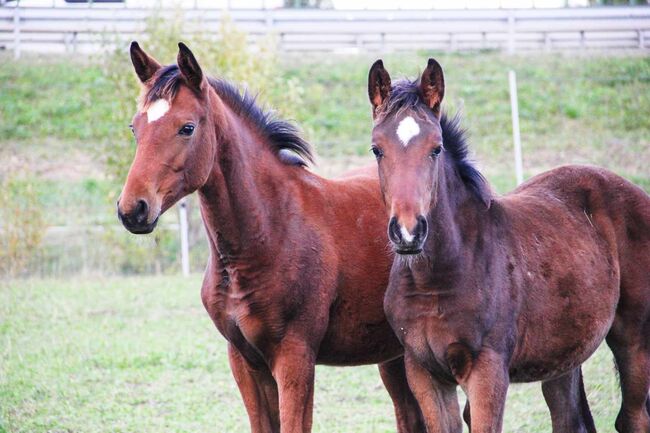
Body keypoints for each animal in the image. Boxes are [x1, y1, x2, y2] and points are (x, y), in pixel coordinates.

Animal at [114, 42, 428, 432]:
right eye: (135, 127)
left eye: (186, 127)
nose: (133, 209)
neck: (268, 233)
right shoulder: (244, 360)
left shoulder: (295, 358)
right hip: (392, 355)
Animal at [364, 58, 648, 432]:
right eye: (377, 150)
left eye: (436, 148)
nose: (408, 232)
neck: (437, 278)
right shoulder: (424, 372)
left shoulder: (488, 370)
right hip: (563, 354)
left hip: (634, 338)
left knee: (633, 416)